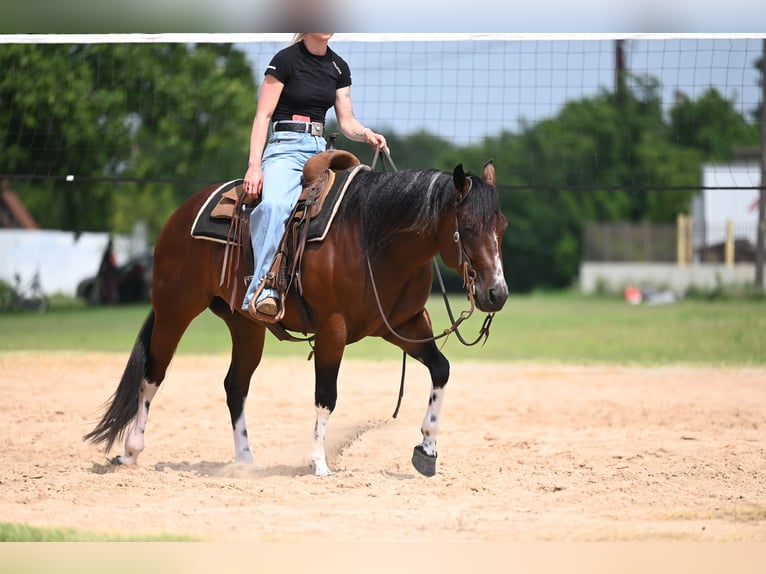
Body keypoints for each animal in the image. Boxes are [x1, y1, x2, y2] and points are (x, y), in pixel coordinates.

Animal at [83, 158, 509, 477]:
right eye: (469, 226)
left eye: (501, 226)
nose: (497, 293)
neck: (373, 239)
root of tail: (183, 212)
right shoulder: (333, 330)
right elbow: (326, 396)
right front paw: (319, 463)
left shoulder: (405, 326)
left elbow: (441, 370)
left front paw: (427, 449)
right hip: (175, 309)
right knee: (152, 375)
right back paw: (131, 451)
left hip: (245, 326)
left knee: (235, 385)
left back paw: (246, 461)